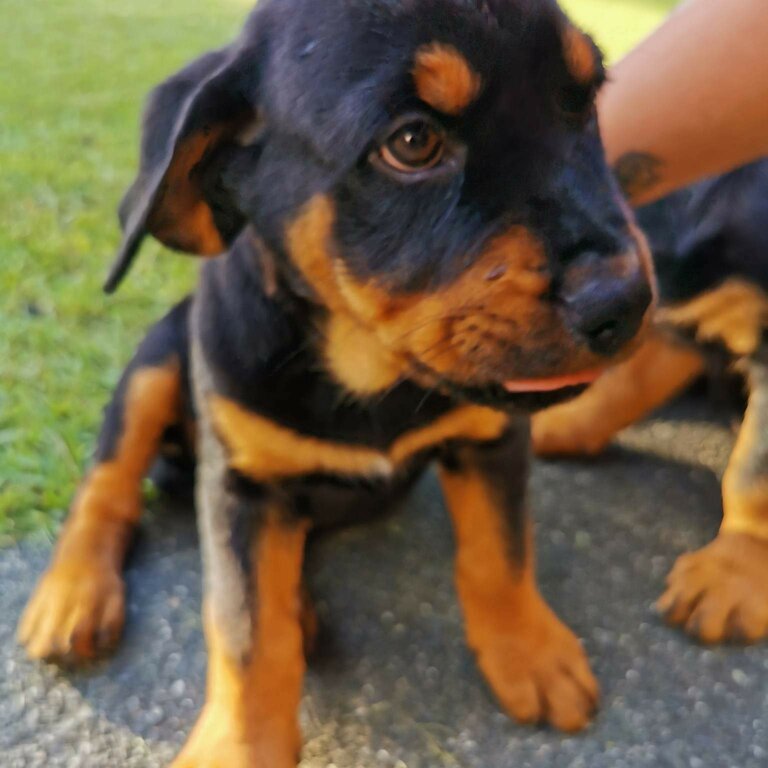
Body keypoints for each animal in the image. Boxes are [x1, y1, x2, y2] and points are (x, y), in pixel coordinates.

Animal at [18, 3, 656, 764]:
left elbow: (500, 554)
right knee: (108, 482)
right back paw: (73, 593)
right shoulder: (239, 485)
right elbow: (244, 627)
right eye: (412, 142)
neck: (364, 373)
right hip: (158, 358)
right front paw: (242, 744)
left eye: (583, 102)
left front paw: (529, 651)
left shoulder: (490, 440)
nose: (626, 303)